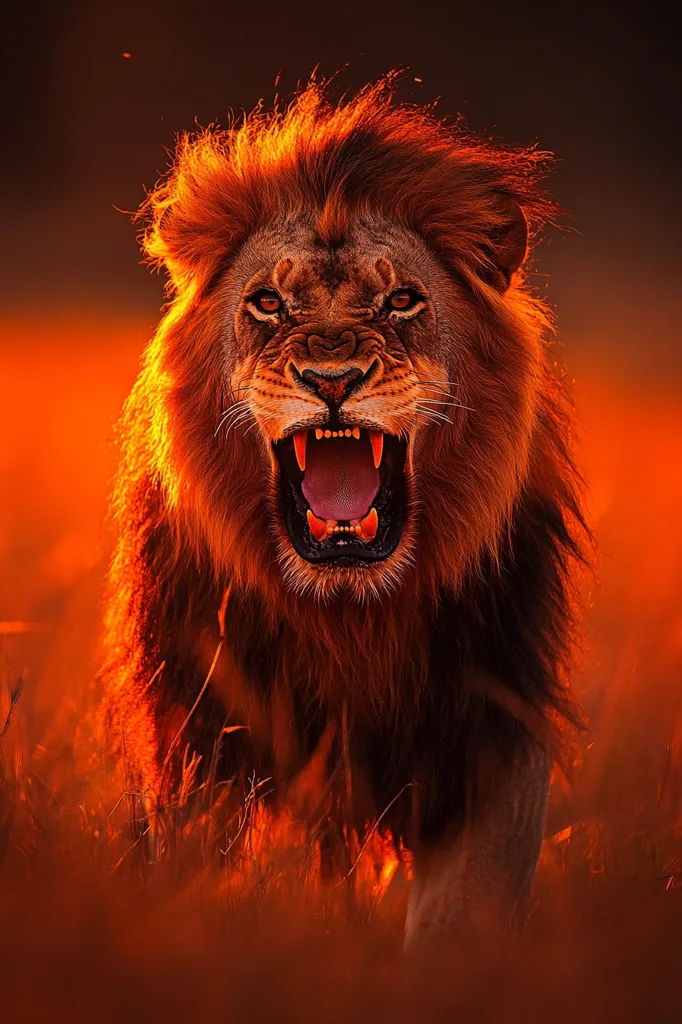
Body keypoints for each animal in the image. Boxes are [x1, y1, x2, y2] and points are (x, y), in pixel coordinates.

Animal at [102, 78, 587, 955]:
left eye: (402, 300)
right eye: (267, 302)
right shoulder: (195, 746)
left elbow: (457, 935)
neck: (346, 618)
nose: (332, 379)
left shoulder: (492, 744)